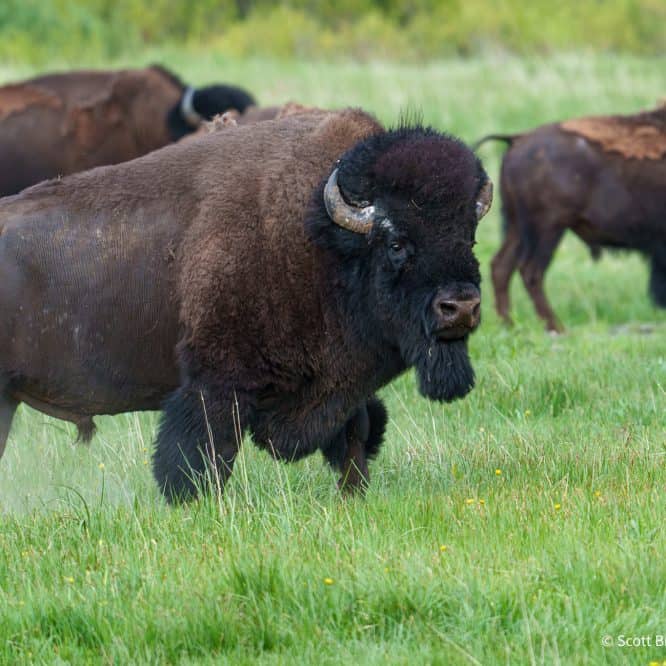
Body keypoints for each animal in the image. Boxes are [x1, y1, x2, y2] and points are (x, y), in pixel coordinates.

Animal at [0, 107, 492, 500]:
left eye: (468, 237)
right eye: (395, 242)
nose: (461, 307)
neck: (322, 239)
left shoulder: (343, 384)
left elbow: (356, 436)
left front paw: (353, 495)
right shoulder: (217, 384)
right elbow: (202, 458)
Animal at [474, 104, 666, 332]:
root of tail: (519, 138)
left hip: (518, 227)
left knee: (502, 266)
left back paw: (509, 324)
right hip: (548, 229)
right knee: (531, 271)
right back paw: (556, 327)